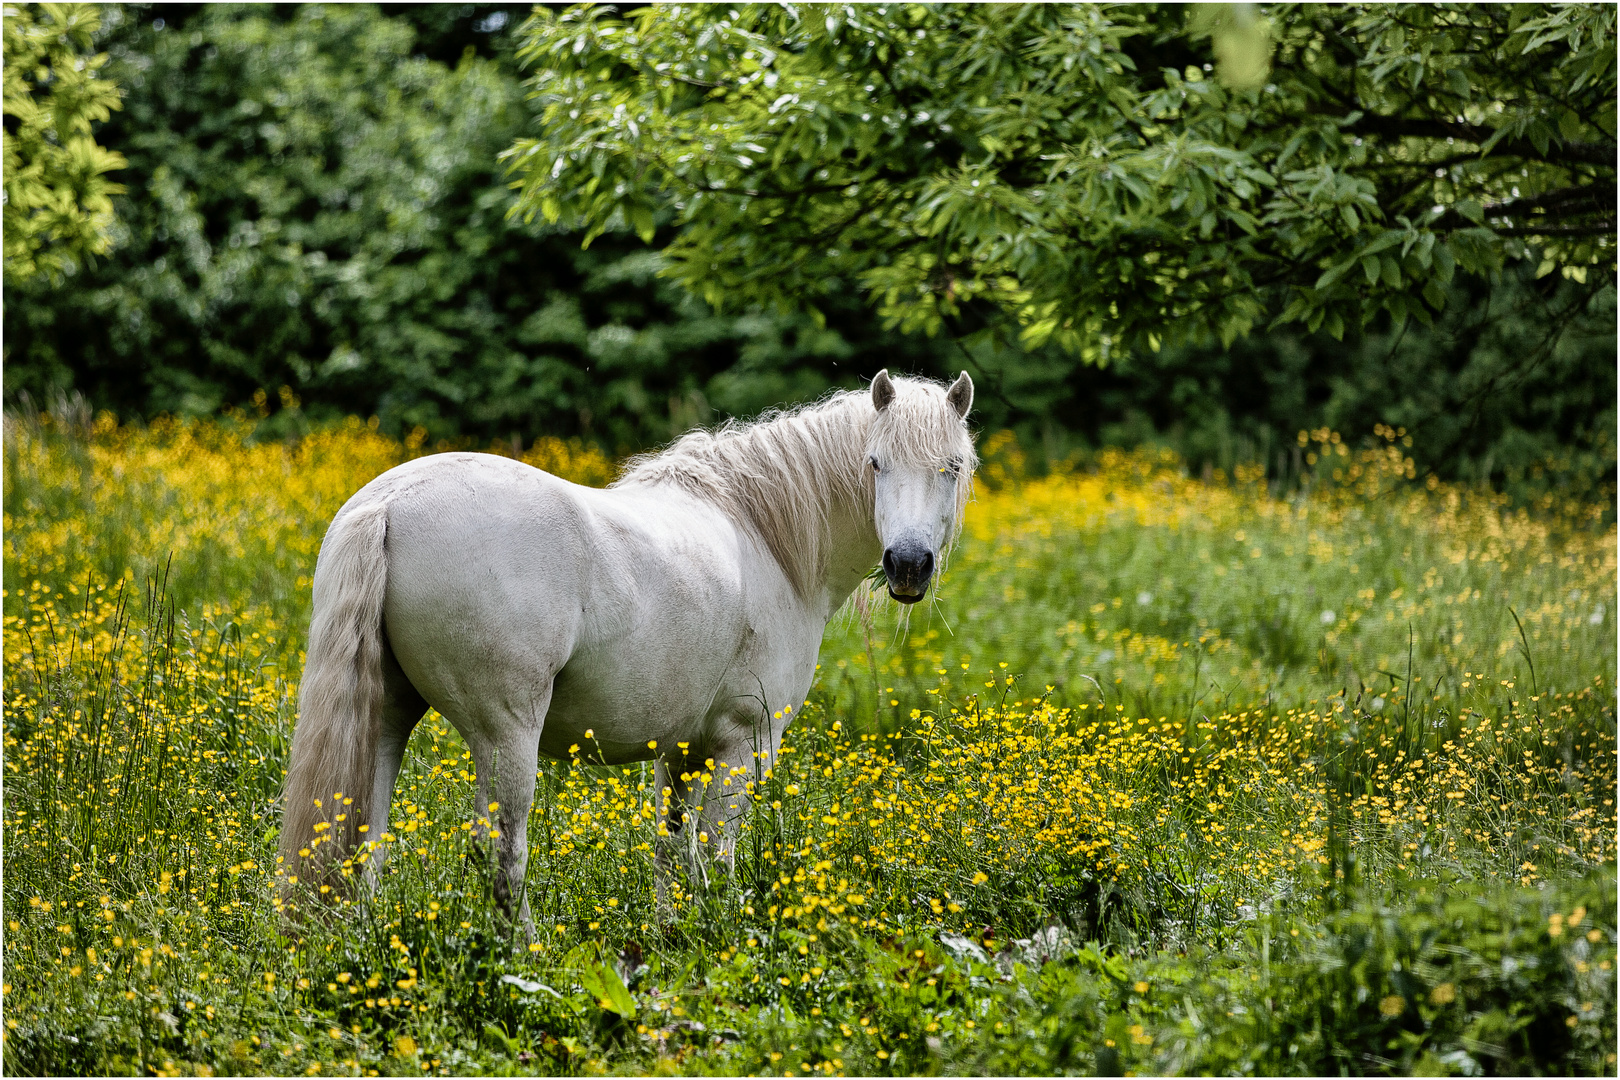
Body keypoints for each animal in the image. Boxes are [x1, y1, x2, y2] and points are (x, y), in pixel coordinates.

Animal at [278, 372, 972, 919]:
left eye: (953, 467)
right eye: (875, 463)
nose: (909, 565)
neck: (764, 535)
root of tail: (391, 503)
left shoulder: (681, 750)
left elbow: (672, 850)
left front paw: (672, 940)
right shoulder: (744, 742)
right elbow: (716, 855)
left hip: (387, 718)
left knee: (365, 839)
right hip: (506, 733)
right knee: (500, 847)